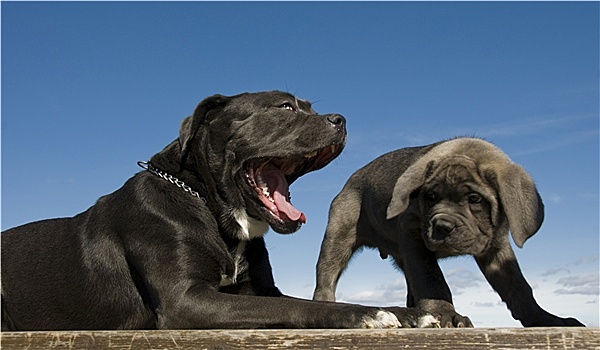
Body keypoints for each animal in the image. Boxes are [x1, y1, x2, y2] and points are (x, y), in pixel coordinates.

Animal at [1, 91, 436, 330]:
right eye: (284, 106)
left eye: (309, 106)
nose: (341, 119)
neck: (204, 202)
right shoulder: (187, 299)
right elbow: (292, 307)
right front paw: (370, 313)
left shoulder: (258, 288)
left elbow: (306, 302)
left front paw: (409, 313)